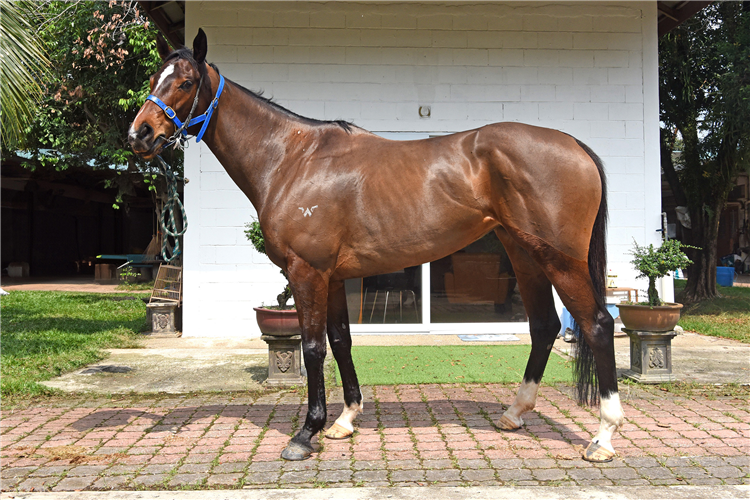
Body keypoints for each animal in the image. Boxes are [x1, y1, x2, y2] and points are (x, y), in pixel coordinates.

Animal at [129, 29, 624, 463]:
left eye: (185, 82)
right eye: (153, 78)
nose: (140, 135)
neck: (292, 160)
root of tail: (574, 144)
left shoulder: (307, 272)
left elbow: (313, 347)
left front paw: (305, 433)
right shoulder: (332, 278)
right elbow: (341, 340)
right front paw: (345, 419)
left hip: (559, 260)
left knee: (597, 324)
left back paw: (603, 438)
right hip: (523, 254)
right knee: (543, 326)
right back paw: (515, 413)